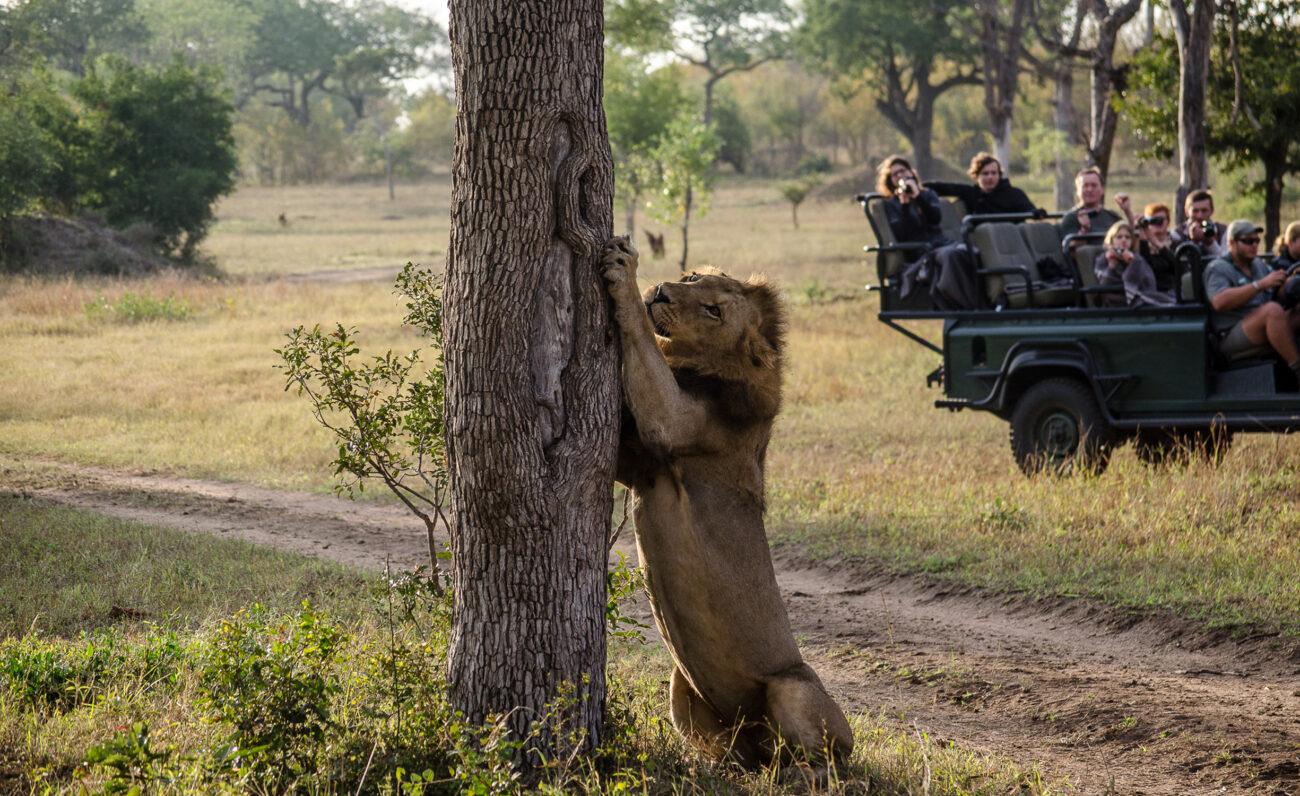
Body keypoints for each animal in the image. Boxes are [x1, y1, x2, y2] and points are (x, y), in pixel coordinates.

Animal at [598, 232, 852, 769]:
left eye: (713, 311)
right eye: (693, 277)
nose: (662, 293)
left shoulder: (675, 423)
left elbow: (643, 342)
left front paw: (625, 273)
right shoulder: (640, 466)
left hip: (792, 687)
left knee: (828, 758)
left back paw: (806, 774)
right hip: (682, 687)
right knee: (738, 756)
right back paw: (718, 766)